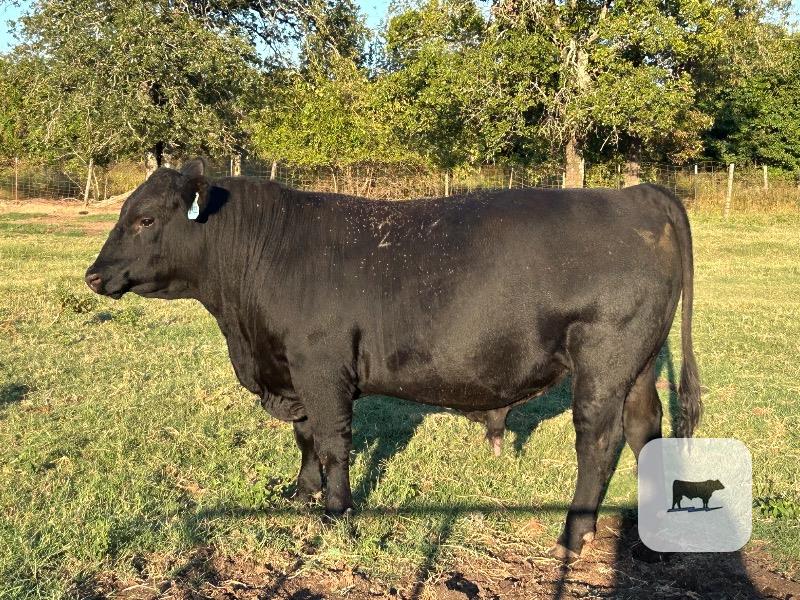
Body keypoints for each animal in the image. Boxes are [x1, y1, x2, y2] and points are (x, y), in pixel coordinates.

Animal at [85, 159, 702, 560]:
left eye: (145, 219)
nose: (93, 274)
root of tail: (633, 195)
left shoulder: (321, 367)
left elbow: (332, 440)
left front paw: (336, 510)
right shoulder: (294, 373)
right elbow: (305, 438)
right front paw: (302, 493)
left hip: (604, 360)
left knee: (598, 440)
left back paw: (575, 535)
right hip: (639, 366)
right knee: (646, 428)